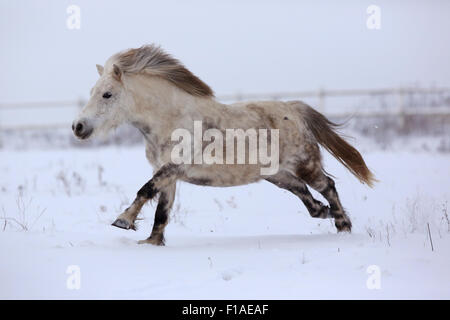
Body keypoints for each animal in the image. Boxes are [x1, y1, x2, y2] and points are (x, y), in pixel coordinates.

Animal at [73, 44, 376, 245]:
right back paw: (325, 213)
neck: (172, 119)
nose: (78, 127)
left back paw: (343, 225)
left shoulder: (174, 167)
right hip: (277, 175)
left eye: (107, 94)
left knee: (328, 185)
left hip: (305, 165)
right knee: (305, 194)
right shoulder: (168, 174)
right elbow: (162, 210)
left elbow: (145, 190)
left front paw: (122, 221)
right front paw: (152, 243)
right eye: (92, 91)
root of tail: (294, 109)